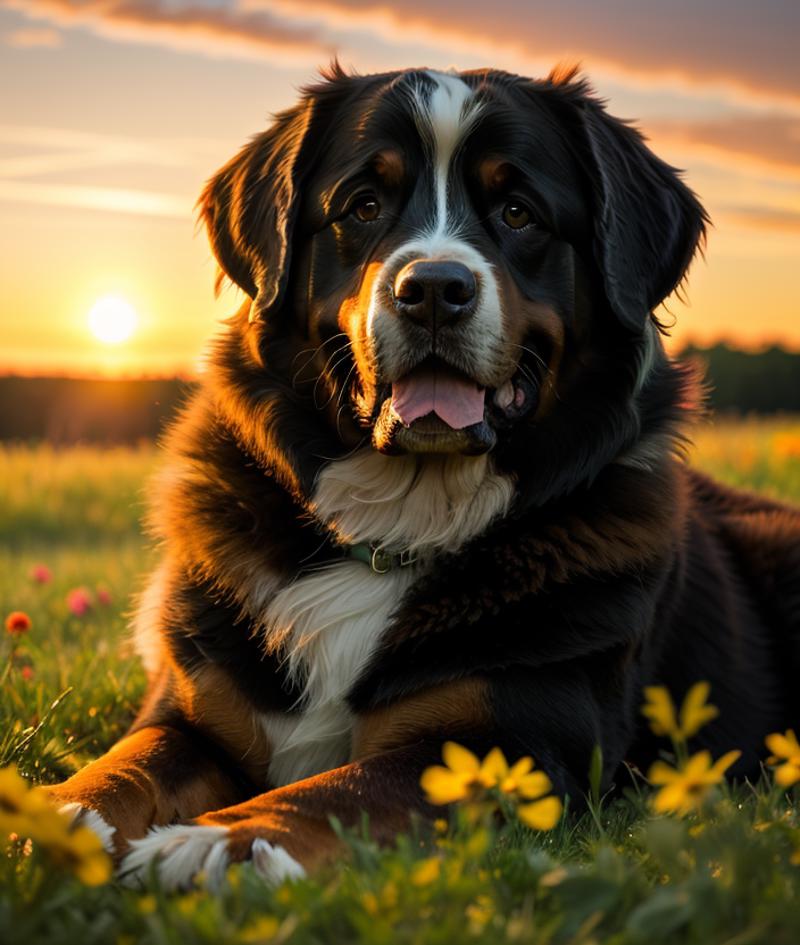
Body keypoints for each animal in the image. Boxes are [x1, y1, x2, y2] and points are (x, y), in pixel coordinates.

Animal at [48, 64, 800, 884]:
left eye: (517, 211)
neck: (398, 522)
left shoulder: (498, 744)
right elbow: (127, 766)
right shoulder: (196, 709)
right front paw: (47, 815)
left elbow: (333, 789)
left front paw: (221, 841)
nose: (434, 288)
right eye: (364, 204)